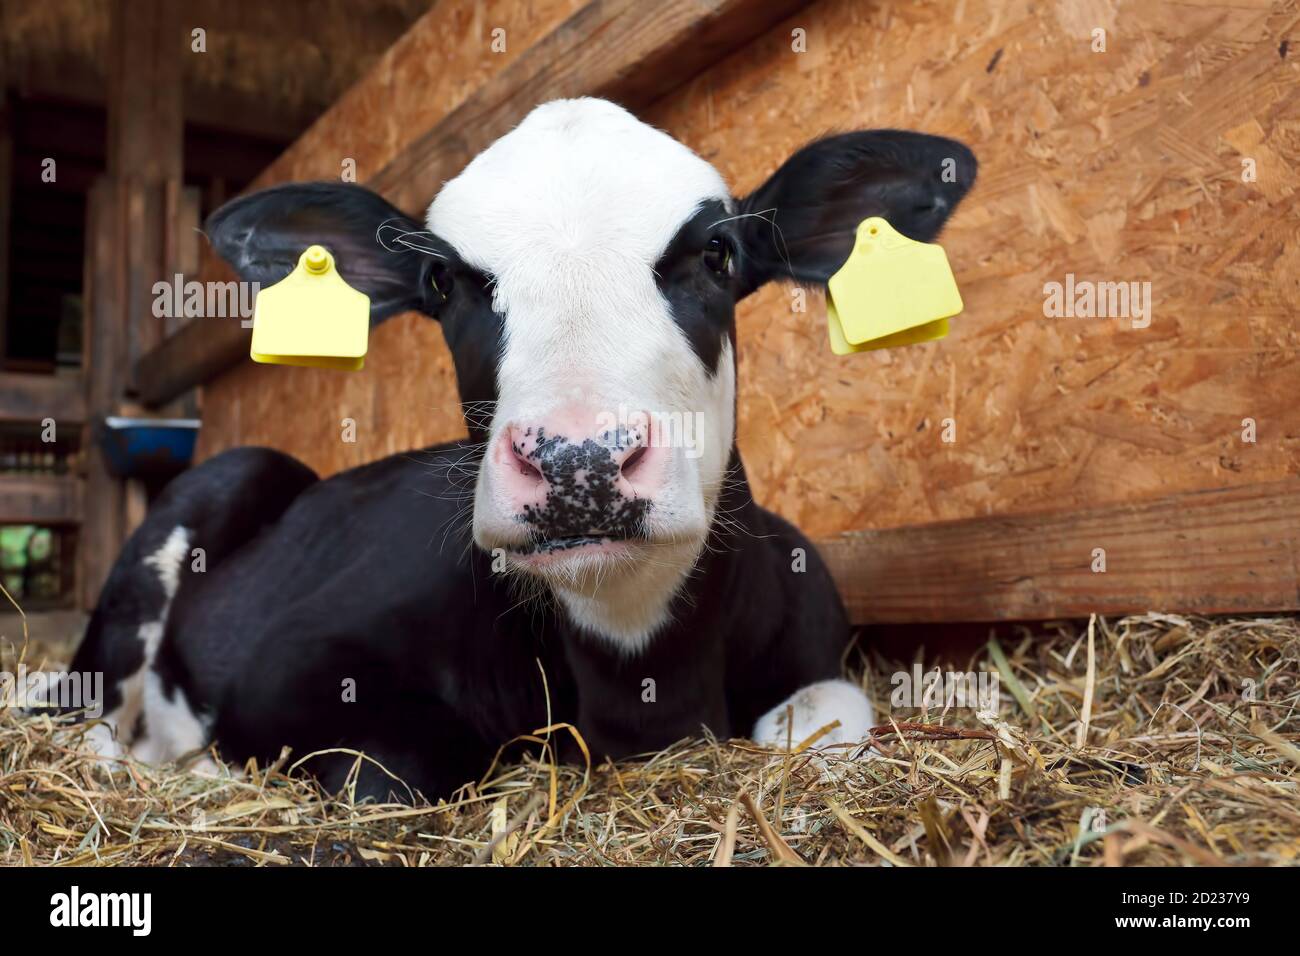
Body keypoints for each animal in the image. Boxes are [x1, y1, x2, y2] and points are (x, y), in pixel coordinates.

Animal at [68, 98, 975, 800]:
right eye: (443, 282)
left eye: (718, 254)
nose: (581, 461)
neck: (641, 678)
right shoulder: (292, 666)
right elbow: (388, 770)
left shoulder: (818, 645)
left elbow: (825, 728)